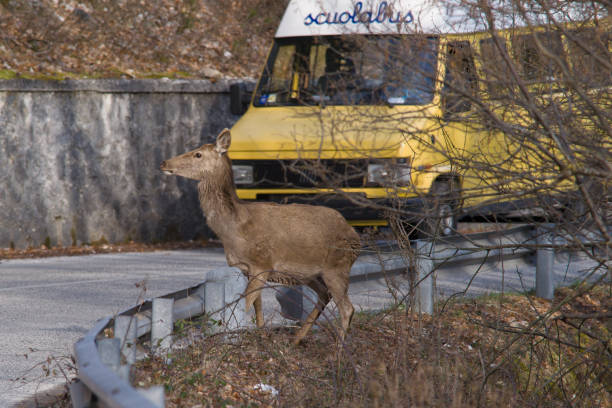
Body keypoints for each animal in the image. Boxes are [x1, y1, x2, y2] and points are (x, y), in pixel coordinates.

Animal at [160, 128, 360, 344]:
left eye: (198, 154)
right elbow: (257, 307)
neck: (234, 230)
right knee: (325, 295)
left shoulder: (262, 264)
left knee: (347, 308)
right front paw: (263, 337)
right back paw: (296, 339)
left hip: (337, 267)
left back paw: (339, 347)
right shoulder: (247, 268)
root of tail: (355, 235)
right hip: (310, 274)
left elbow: (245, 305)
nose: (165, 163)